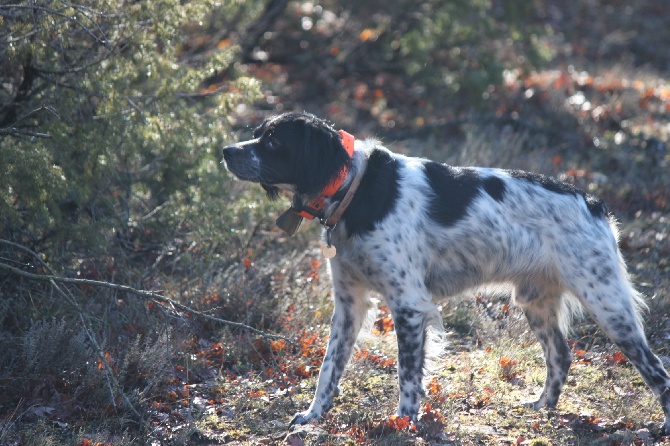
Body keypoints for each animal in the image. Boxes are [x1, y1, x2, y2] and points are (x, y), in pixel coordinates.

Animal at [224, 110, 670, 432]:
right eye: (257, 133)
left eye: (274, 141)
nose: (227, 150)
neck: (357, 188)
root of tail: (596, 204)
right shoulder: (349, 305)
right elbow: (328, 369)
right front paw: (313, 416)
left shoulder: (408, 304)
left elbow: (407, 375)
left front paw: (403, 423)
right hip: (535, 301)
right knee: (560, 355)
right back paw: (542, 407)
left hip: (607, 303)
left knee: (655, 368)